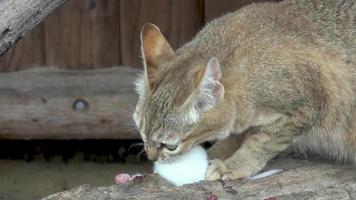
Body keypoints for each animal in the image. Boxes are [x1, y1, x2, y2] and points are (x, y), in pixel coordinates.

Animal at [134, 0, 356, 181]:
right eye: (141, 132)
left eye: (170, 146)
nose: (151, 156)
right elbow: (232, 138)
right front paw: (214, 155)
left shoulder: (303, 109)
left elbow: (260, 144)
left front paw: (233, 166)